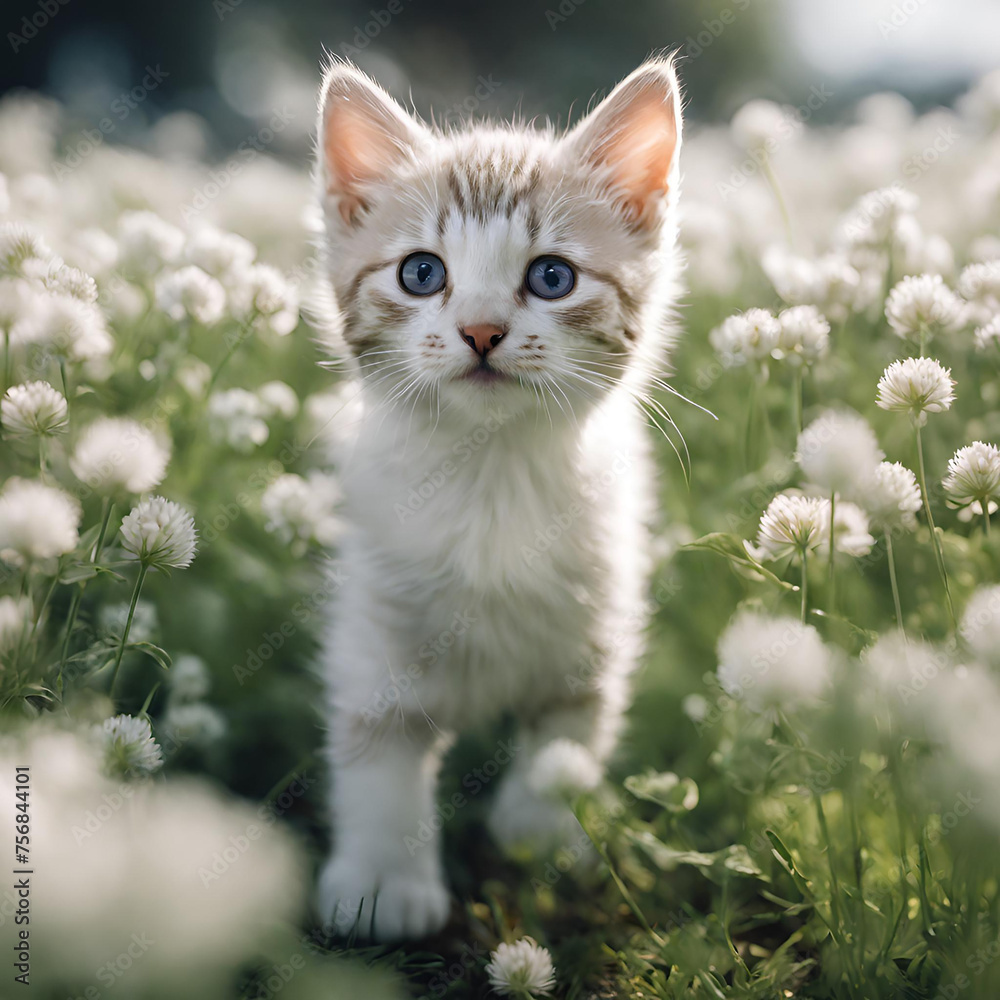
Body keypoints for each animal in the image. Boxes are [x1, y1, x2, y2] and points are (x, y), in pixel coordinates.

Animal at [316, 54, 684, 940]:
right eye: (422, 273)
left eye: (552, 277)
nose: (481, 331)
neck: (490, 474)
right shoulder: (375, 622)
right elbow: (378, 744)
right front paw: (380, 883)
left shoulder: (597, 608)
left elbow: (567, 734)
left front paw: (538, 833)